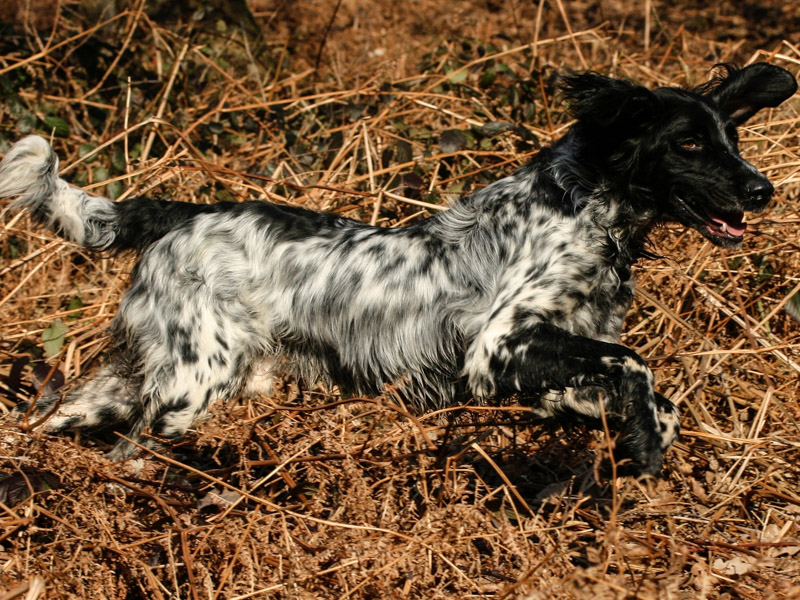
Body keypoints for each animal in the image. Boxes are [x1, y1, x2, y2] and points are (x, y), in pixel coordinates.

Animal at [3, 63, 796, 476]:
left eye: (730, 137)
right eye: (689, 144)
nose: (763, 190)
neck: (586, 206)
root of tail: (179, 213)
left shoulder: (540, 365)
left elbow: (631, 392)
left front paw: (640, 431)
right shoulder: (497, 345)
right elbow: (636, 365)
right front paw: (647, 445)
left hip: (140, 378)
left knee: (54, 418)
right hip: (191, 387)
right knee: (127, 456)